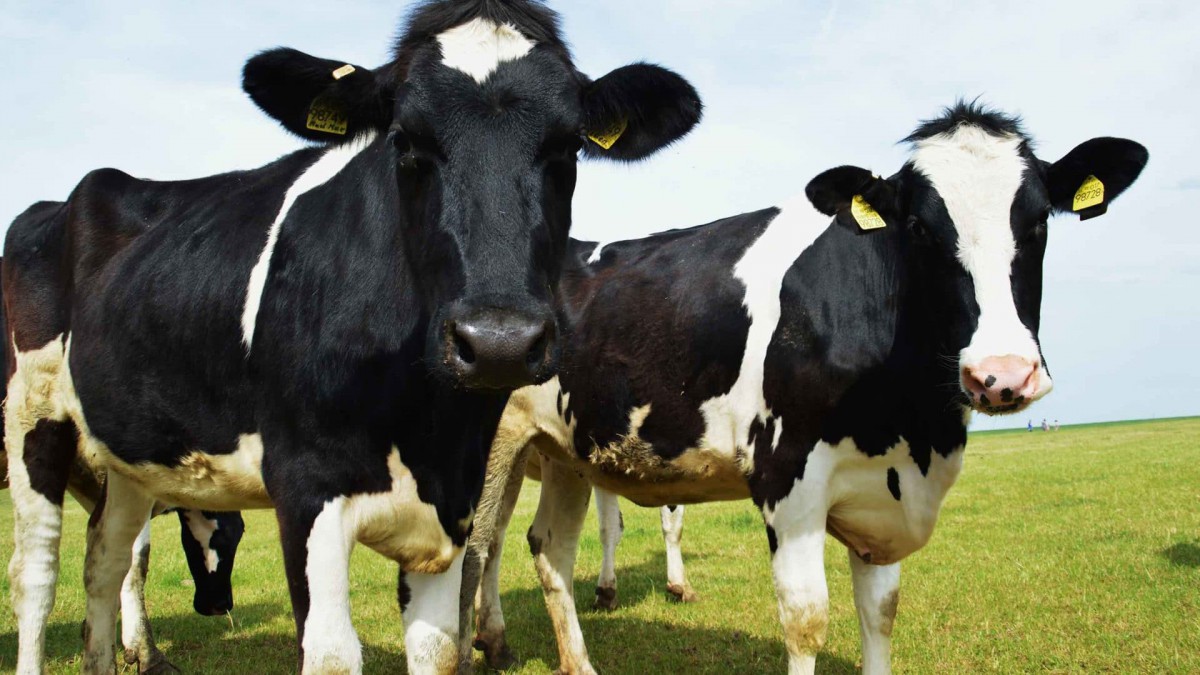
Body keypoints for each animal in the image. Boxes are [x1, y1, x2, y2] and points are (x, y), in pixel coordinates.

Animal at [463, 100, 1147, 672]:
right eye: (921, 229)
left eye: (1039, 223)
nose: (1003, 374)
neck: (911, 425)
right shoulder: (787, 476)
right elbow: (806, 620)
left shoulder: (883, 495)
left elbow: (881, 613)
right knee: (477, 546)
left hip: (564, 450)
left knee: (549, 550)